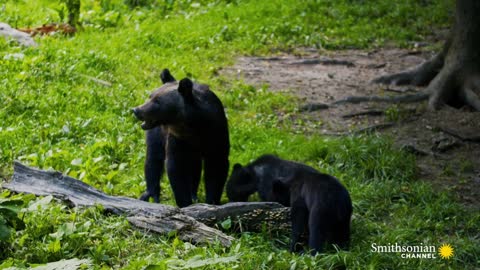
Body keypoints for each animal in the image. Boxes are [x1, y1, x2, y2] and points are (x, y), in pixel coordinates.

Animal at [131, 69, 229, 207]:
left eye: (157, 101)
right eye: (150, 96)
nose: (136, 110)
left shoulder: (216, 135)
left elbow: (216, 166)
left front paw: (212, 200)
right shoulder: (177, 139)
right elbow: (175, 167)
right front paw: (185, 202)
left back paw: (194, 194)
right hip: (157, 133)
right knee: (153, 158)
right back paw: (150, 193)